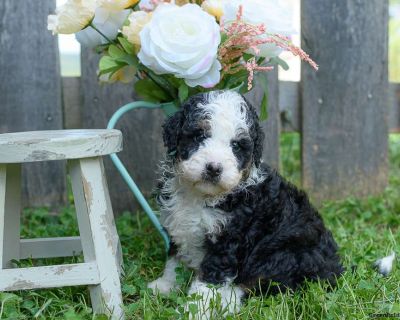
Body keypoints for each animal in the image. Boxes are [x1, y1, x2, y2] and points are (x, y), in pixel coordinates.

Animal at [148, 90, 342, 318]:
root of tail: (335, 268)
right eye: (199, 136)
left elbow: (207, 283)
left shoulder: (228, 242)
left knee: (262, 285)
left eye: (236, 146)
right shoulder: (177, 224)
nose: (214, 168)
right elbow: (174, 261)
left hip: (285, 254)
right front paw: (165, 285)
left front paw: (193, 311)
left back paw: (227, 303)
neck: (201, 196)